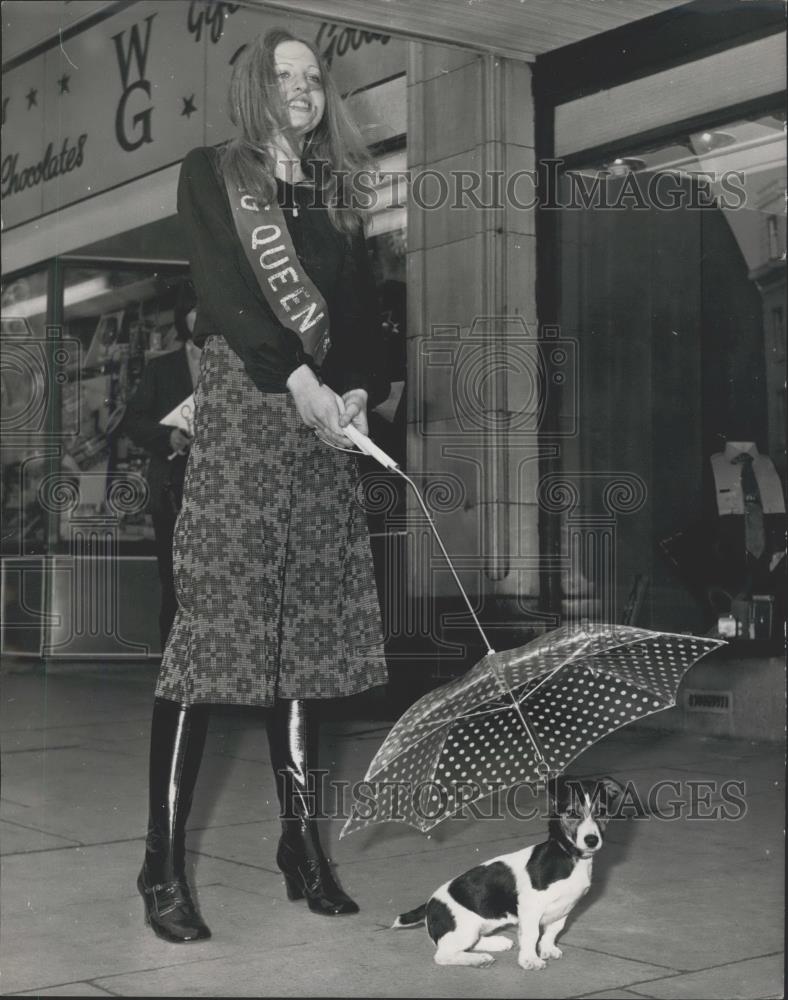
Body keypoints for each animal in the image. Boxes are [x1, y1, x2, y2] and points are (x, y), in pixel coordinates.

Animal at [392, 772, 620, 968]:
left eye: (602, 811)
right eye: (572, 813)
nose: (591, 840)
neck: (568, 856)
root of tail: (429, 904)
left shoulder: (565, 908)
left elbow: (553, 931)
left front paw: (547, 949)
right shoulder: (531, 909)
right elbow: (531, 936)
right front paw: (530, 960)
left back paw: (497, 943)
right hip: (464, 930)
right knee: (443, 955)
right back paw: (478, 959)